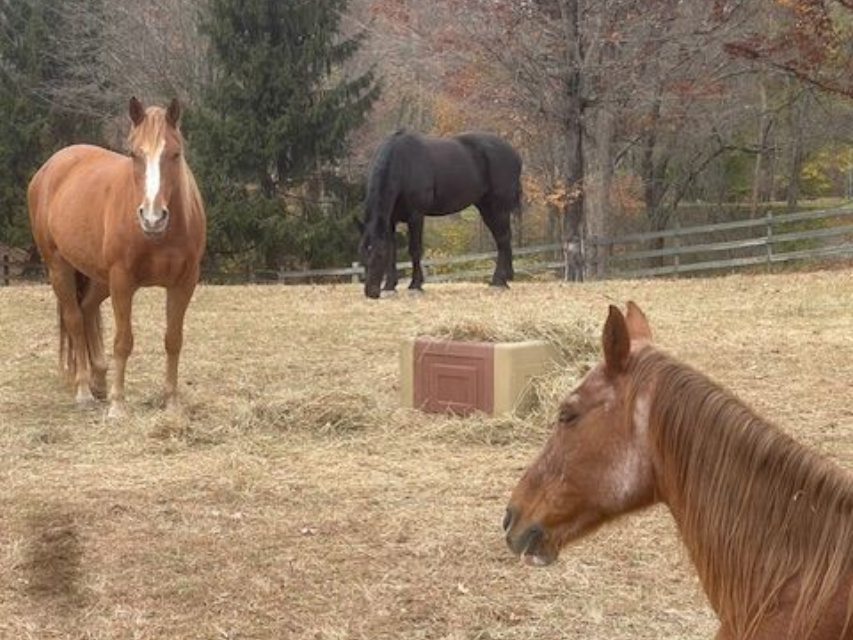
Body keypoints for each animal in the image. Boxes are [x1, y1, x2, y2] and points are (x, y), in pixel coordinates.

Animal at [28, 97, 206, 419]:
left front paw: (171, 401)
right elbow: (123, 342)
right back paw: (84, 390)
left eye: (175, 154)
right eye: (134, 154)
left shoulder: (184, 282)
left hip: (99, 278)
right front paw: (118, 405)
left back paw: (99, 380)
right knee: (75, 319)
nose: (152, 218)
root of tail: (50, 167)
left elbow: (173, 339)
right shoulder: (123, 281)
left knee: (87, 309)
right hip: (59, 268)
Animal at [357, 130, 522, 299]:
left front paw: (415, 285)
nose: (371, 292)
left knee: (503, 239)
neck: (403, 164)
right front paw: (390, 286)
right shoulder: (389, 221)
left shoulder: (416, 216)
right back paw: (506, 278)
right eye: (362, 254)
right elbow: (392, 250)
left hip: (499, 208)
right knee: (502, 239)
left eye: (379, 255)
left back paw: (499, 282)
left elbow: (415, 250)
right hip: (486, 208)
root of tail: (514, 153)